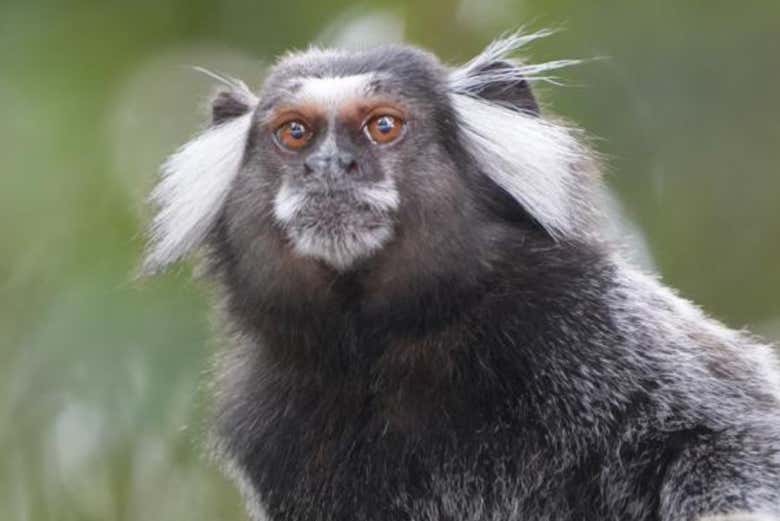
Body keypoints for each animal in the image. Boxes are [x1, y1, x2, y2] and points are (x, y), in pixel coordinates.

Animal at [142, 32, 780, 521]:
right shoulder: (275, 431)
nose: (327, 167)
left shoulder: (593, 322)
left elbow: (734, 439)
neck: (395, 342)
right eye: (294, 133)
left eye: (383, 126)